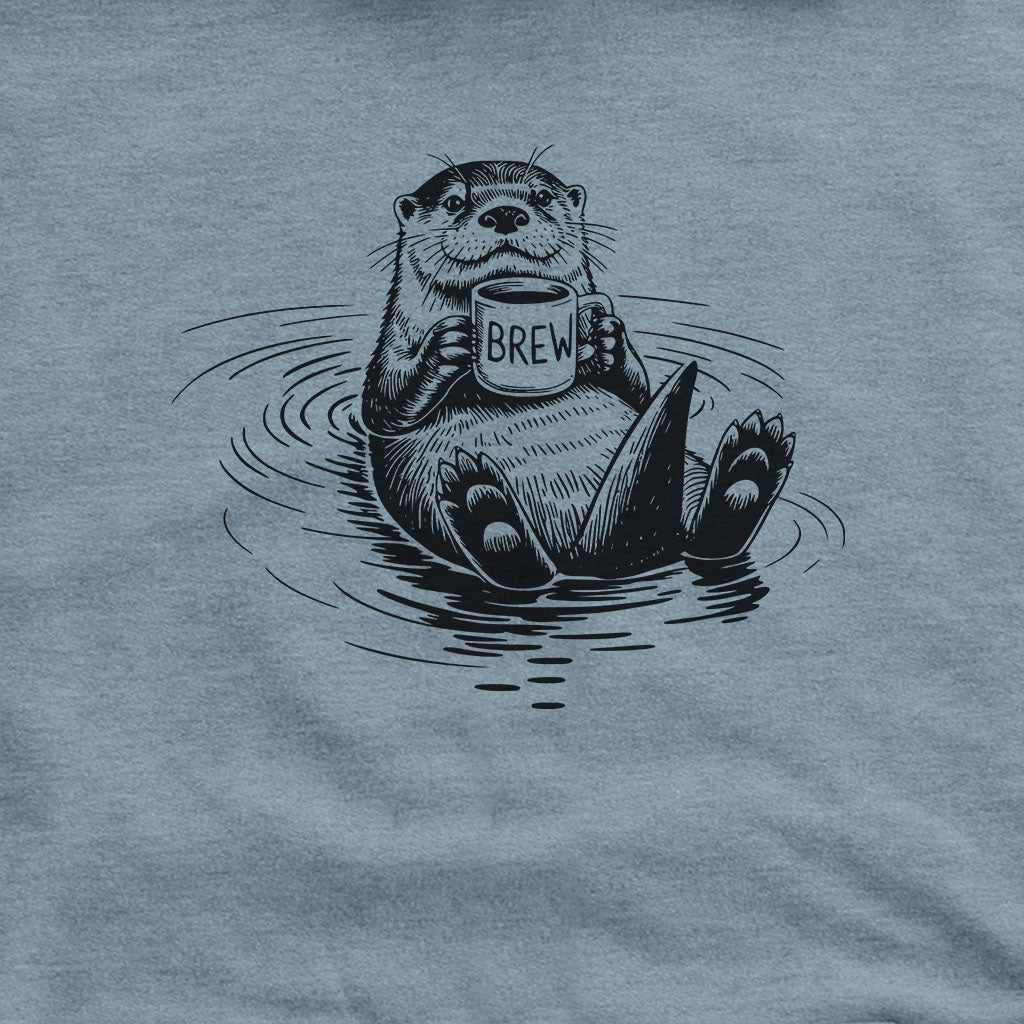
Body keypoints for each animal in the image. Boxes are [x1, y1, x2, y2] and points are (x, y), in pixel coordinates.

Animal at [361, 159, 794, 589]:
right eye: (453, 202)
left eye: (541, 196)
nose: (505, 213)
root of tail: (606, 555)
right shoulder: (392, 346)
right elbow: (383, 404)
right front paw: (447, 344)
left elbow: (638, 391)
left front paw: (607, 339)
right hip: (424, 496)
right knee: (523, 572)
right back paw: (484, 508)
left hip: (689, 470)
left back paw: (749, 466)